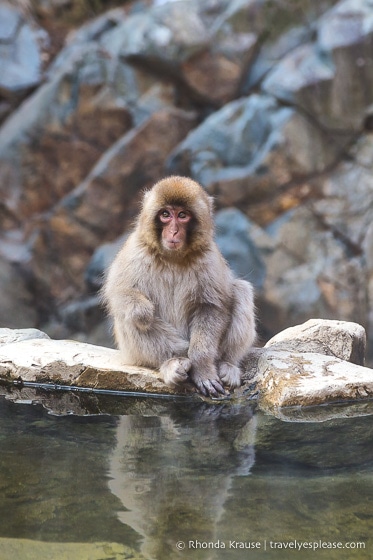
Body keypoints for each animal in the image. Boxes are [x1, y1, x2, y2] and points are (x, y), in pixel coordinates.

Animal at [102, 176, 256, 398]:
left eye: (182, 215)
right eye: (165, 214)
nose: (173, 231)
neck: (172, 257)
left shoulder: (208, 257)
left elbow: (211, 307)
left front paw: (201, 367)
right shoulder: (135, 249)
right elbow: (121, 293)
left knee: (241, 289)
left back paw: (227, 364)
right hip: (133, 354)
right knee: (132, 314)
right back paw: (172, 363)